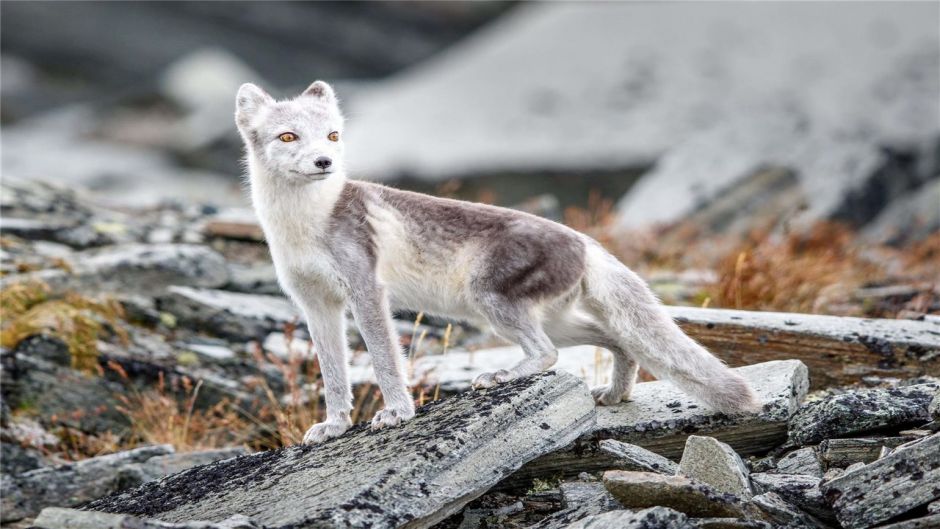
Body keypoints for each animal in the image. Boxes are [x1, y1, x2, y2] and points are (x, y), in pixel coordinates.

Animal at [235, 80, 764, 444]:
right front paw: (335, 425)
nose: (325, 162)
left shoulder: (366, 291)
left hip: (491, 303)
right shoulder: (315, 305)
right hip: (542, 317)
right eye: (288, 136)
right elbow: (333, 374)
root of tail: (586, 240)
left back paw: (503, 377)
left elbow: (385, 361)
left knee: (548, 354)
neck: (304, 224)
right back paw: (614, 395)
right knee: (614, 340)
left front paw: (397, 413)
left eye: (332, 135)